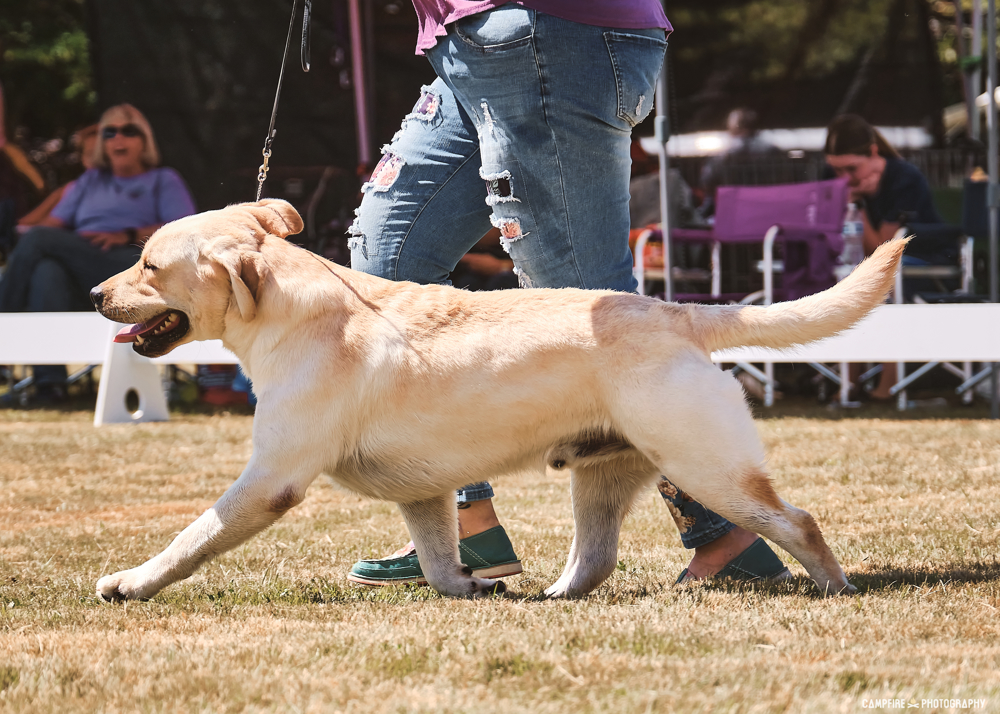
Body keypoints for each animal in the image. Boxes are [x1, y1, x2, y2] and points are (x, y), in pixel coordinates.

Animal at [92, 197, 908, 596]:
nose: (96, 294)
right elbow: (436, 557)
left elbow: (190, 538)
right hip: (603, 477)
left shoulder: (272, 479)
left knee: (798, 521)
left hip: (706, 463)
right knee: (595, 559)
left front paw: (129, 582)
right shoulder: (422, 492)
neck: (299, 315)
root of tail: (675, 309)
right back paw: (551, 598)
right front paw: (466, 587)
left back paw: (835, 588)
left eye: (150, 264)